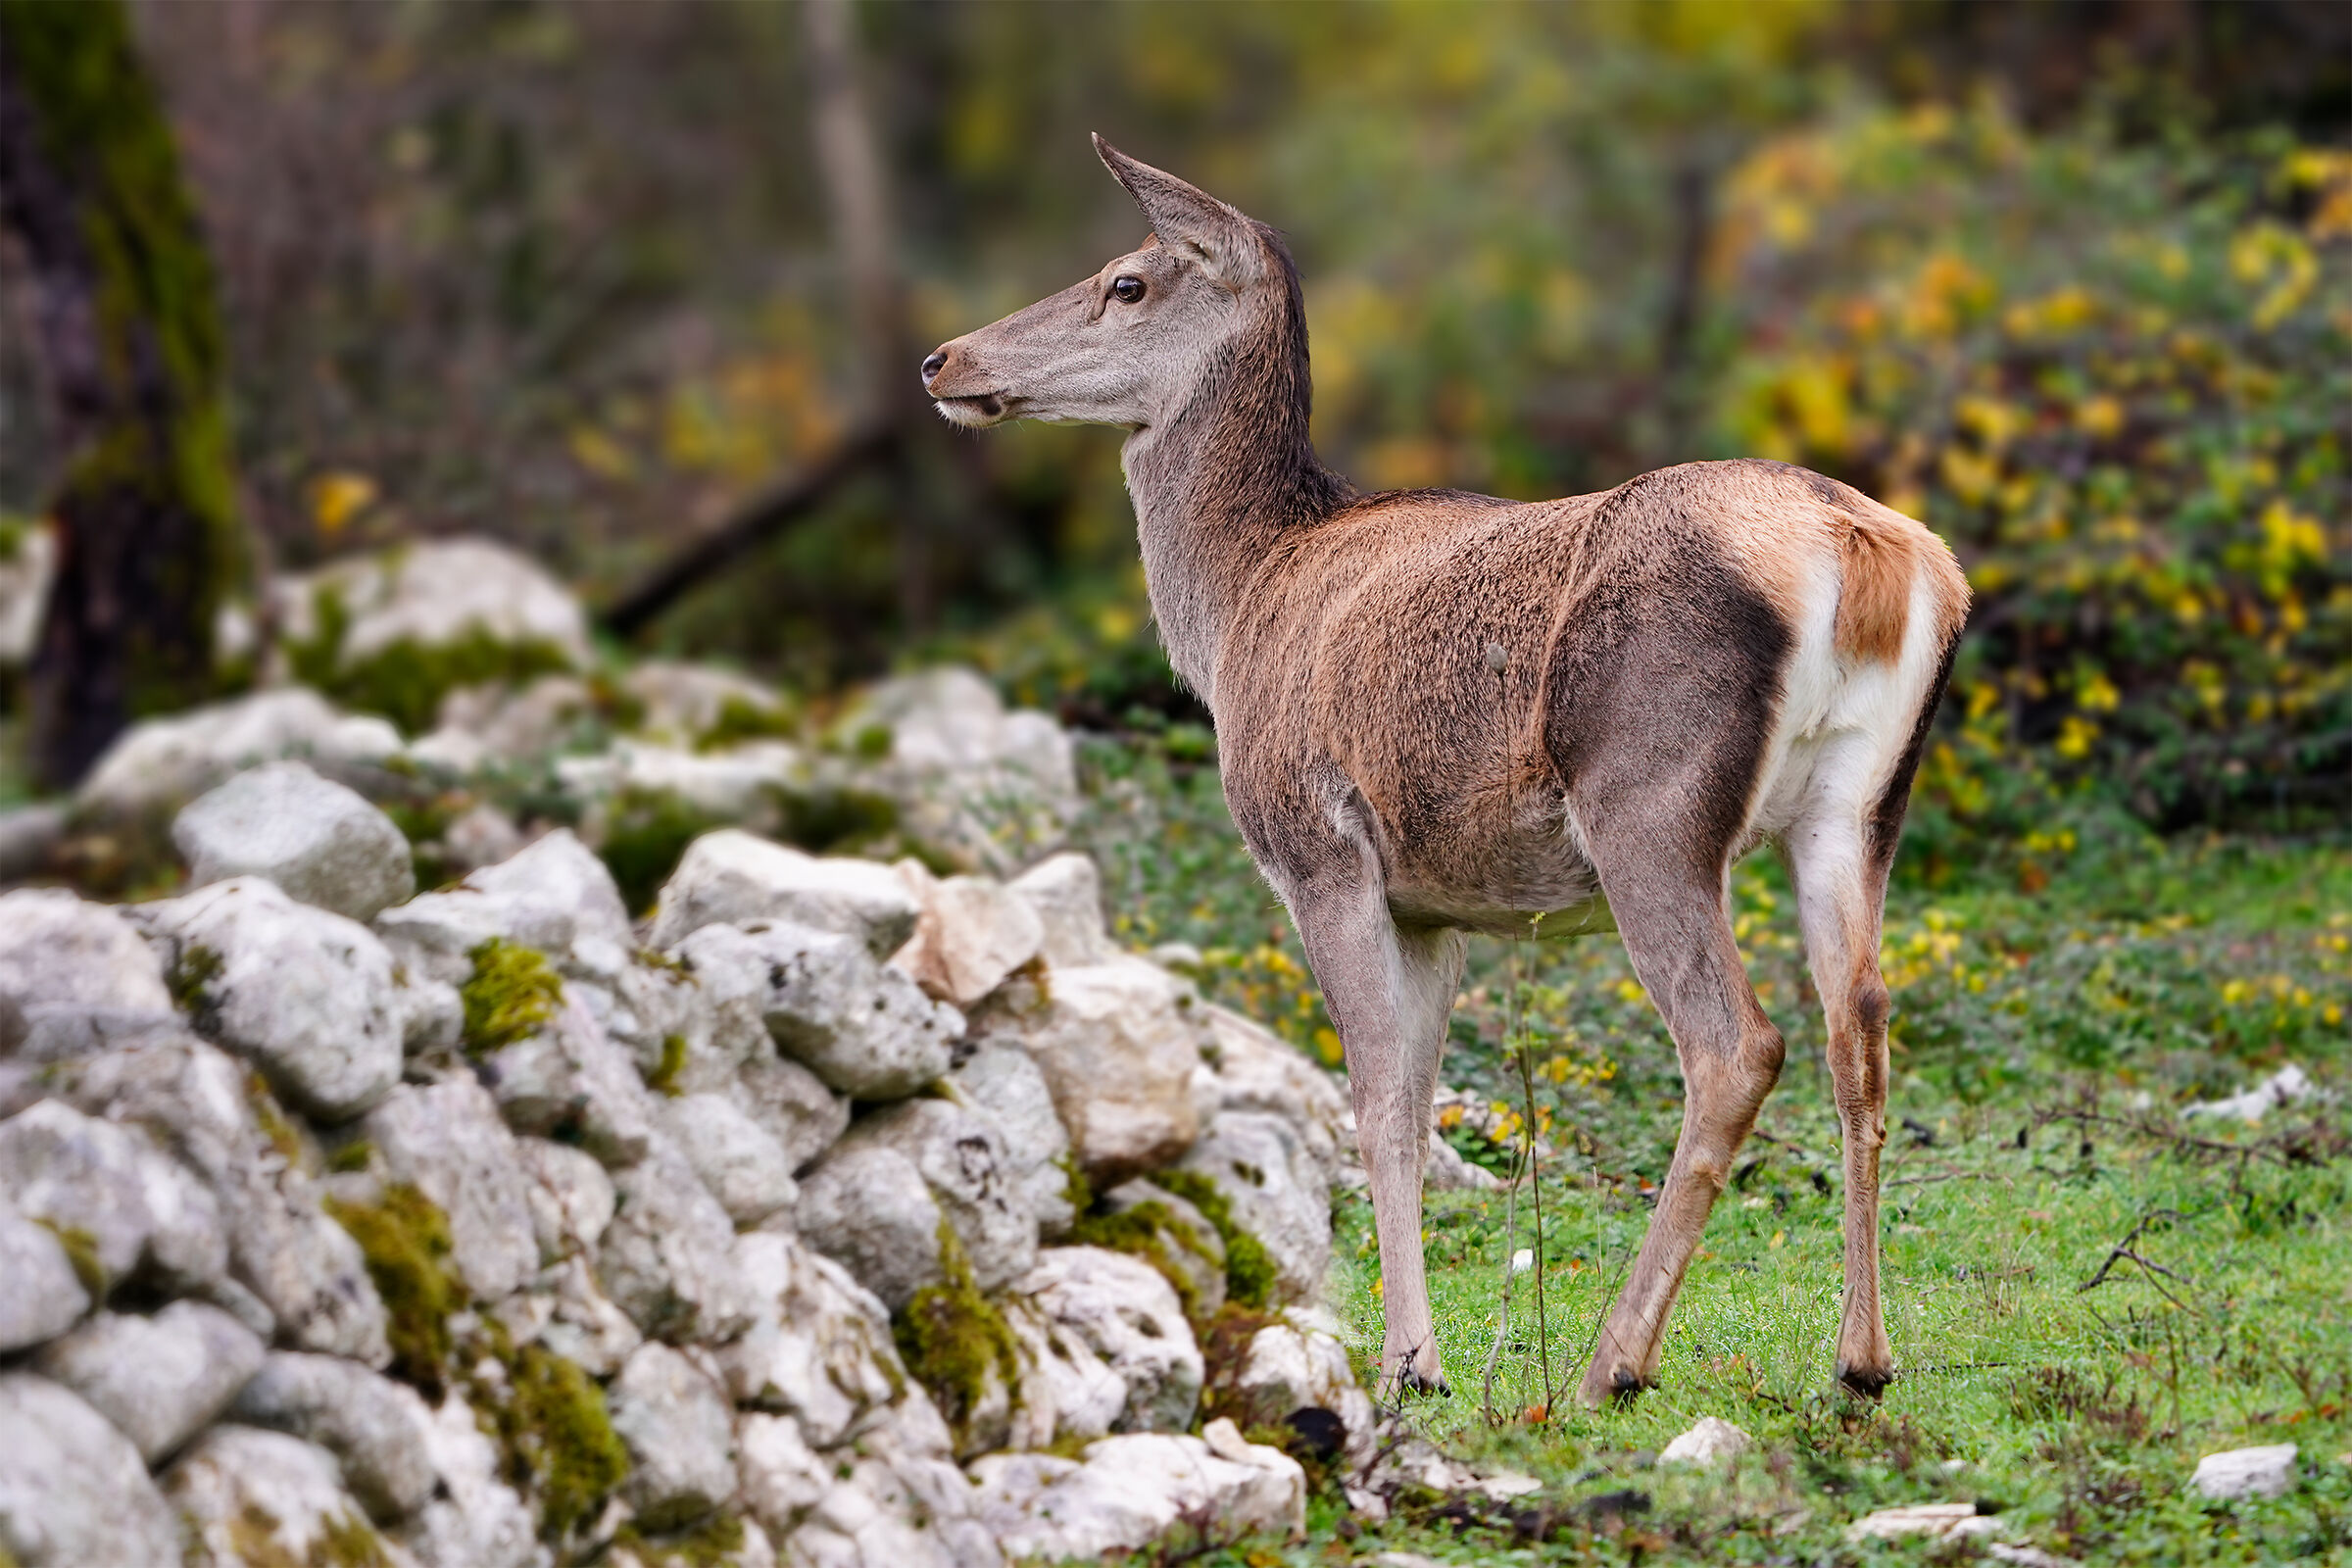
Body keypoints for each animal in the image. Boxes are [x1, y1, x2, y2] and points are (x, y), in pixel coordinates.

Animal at [922, 136, 1969, 1408]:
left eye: (1127, 279)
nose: (943, 358)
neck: (1236, 606)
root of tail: (1867, 556)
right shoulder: (1436, 906)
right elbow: (1421, 1109)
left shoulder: (1321, 851)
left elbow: (1373, 1104)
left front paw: (1409, 1365)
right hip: (1865, 802)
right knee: (1859, 1027)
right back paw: (1861, 1360)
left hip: (1649, 800)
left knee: (1735, 1043)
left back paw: (1613, 1364)